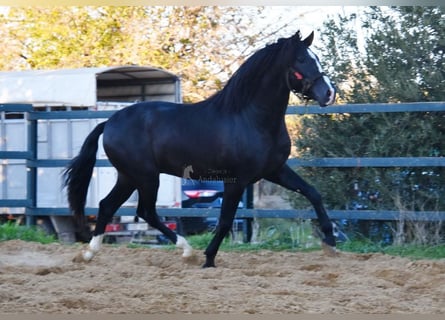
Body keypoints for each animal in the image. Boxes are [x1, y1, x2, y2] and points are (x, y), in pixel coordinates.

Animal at [65, 31, 336, 266]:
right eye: (301, 59)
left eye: (316, 57)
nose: (329, 93)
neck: (250, 118)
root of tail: (109, 122)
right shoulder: (236, 180)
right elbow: (225, 220)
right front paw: (209, 259)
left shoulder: (275, 170)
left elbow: (313, 193)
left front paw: (331, 244)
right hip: (145, 176)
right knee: (146, 210)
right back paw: (187, 251)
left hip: (129, 176)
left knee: (108, 205)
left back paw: (88, 253)